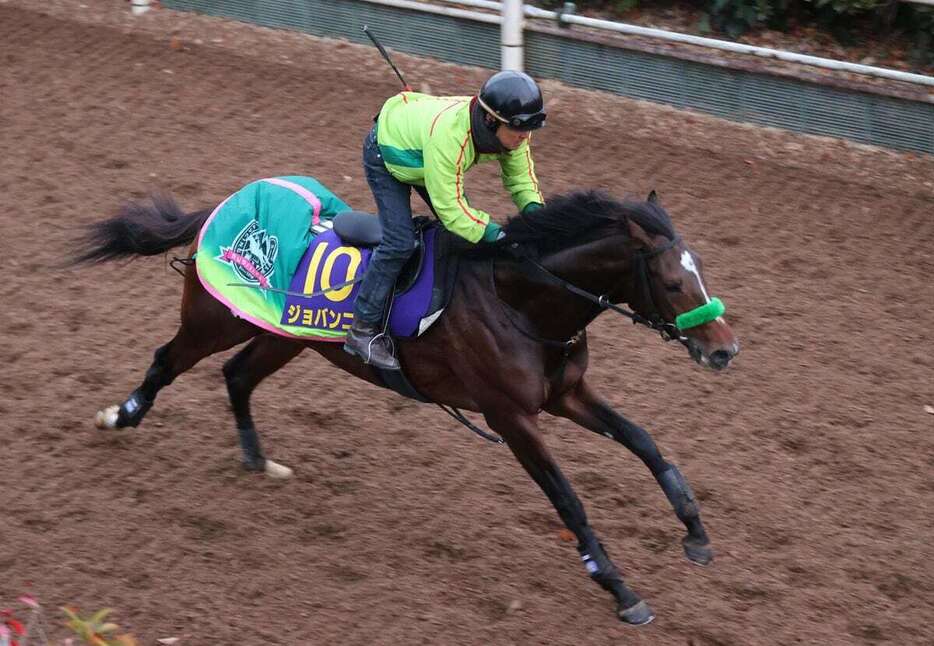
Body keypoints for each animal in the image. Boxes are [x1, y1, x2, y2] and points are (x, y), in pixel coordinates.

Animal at [75, 187, 740, 628]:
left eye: (702, 270)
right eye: (674, 283)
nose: (725, 349)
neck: (519, 300)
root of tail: (227, 205)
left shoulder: (565, 394)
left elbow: (646, 442)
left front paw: (696, 532)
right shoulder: (510, 416)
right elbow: (568, 499)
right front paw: (619, 587)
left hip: (285, 334)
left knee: (237, 377)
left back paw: (259, 462)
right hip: (216, 318)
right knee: (167, 360)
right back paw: (121, 416)